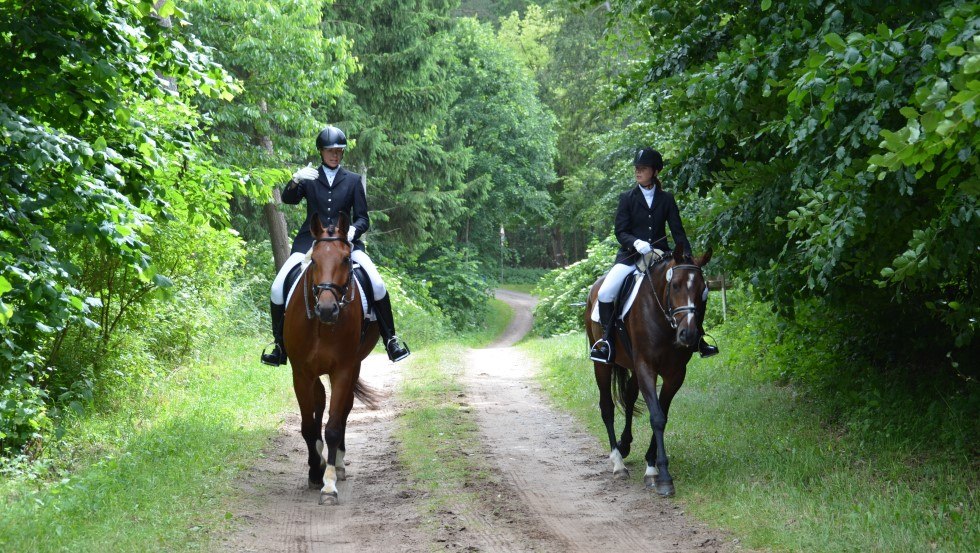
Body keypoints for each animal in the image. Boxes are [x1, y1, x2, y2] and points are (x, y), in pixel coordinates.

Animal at [284, 211, 382, 504]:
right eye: (314, 260)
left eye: (345, 259)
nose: (327, 309)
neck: (321, 325)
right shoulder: (300, 373)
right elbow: (308, 426)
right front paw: (314, 472)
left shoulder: (344, 370)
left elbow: (334, 426)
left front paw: (328, 484)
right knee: (319, 403)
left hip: (354, 366)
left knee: (344, 410)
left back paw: (337, 464)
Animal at [580, 247, 712, 496]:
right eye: (675, 285)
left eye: (703, 290)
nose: (688, 335)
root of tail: (595, 288)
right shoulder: (646, 367)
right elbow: (657, 416)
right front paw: (663, 477)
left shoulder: (675, 374)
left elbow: (662, 414)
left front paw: (651, 466)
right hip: (602, 364)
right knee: (607, 407)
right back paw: (618, 462)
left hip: (632, 366)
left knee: (630, 397)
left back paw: (624, 445)